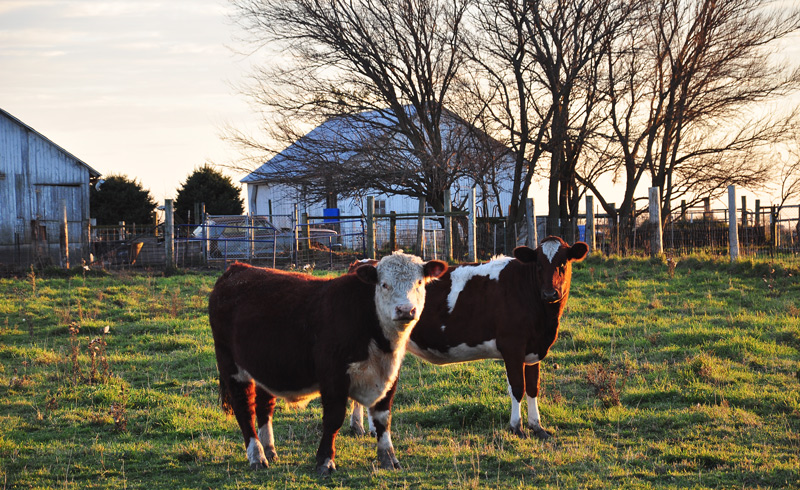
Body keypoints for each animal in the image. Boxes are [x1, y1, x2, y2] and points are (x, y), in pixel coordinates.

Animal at [208, 252, 447, 476]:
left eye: (419, 282)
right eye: (384, 284)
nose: (405, 310)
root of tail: (237, 268)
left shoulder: (390, 374)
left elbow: (383, 418)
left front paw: (389, 459)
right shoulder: (333, 376)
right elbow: (334, 418)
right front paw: (325, 461)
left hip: (264, 367)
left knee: (264, 406)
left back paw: (269, 450)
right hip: (231, 365)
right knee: (244, 409)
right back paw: (257, 456)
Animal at [349, 236, 588, 440]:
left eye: (563, 264)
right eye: (538, 265)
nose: (550, 293)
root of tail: (361, 265)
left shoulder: (533, 350)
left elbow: (532, 387)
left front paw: (537, 427)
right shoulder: (512, 346)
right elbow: (517, 387)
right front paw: (516, 427)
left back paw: (359, 427)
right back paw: (368, 428)